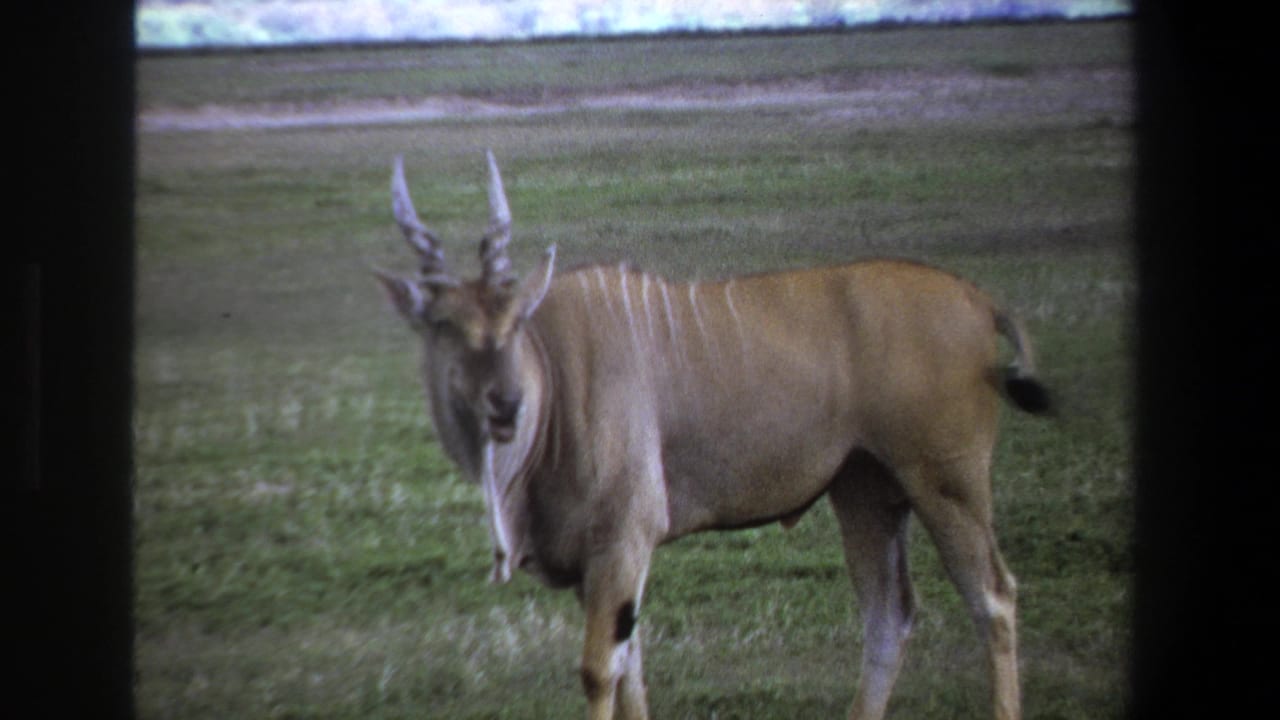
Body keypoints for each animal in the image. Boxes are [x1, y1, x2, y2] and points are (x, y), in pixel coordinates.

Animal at [374, 151, 1052, 720]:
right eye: (442, 324)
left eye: (515, 321)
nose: (505, 404)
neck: (555, 379)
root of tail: (977, 299)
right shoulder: (608, 563)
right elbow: (631, 669)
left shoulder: (622, 541)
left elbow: (600, 671)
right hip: (865, 489)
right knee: (890, 615)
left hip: (946, 484)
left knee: (992, 598)